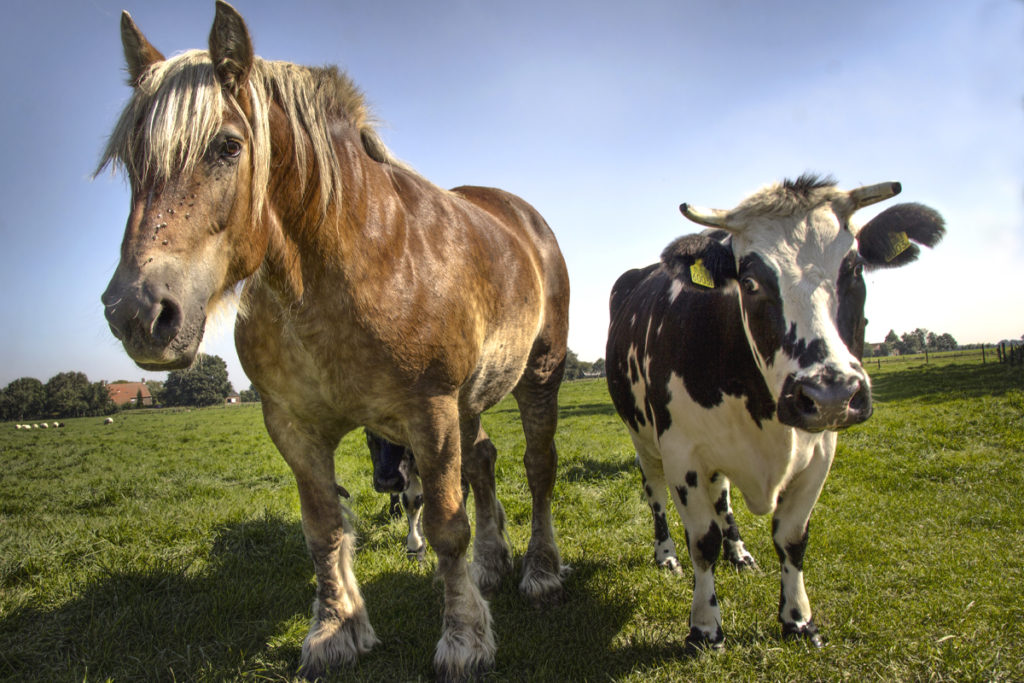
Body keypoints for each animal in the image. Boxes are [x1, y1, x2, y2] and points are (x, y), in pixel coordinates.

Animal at [97, 3, 570, 679]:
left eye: (227, 146)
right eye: (131, 160)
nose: (138, 313)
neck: (350, 264)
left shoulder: (429, 412)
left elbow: (444, 526)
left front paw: (463, 639)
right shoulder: (293, 425)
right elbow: (323, 528)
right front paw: (336, 630)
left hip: (538, 375)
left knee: (537, 466)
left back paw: (540, 570)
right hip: (472, 400)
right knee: (482, 461)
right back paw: (491, 563)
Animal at [606, 174, 944, 650]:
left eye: (855, 268)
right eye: (749, 282)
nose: (830, 393)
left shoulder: (821, 449)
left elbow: (791, 538)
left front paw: (798, 620)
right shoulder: (682, 452)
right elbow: (702, 541)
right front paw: (705, 628)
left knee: (724, 495)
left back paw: (739, 552)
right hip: (644, 440)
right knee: (655, 494)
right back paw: (667, 555)